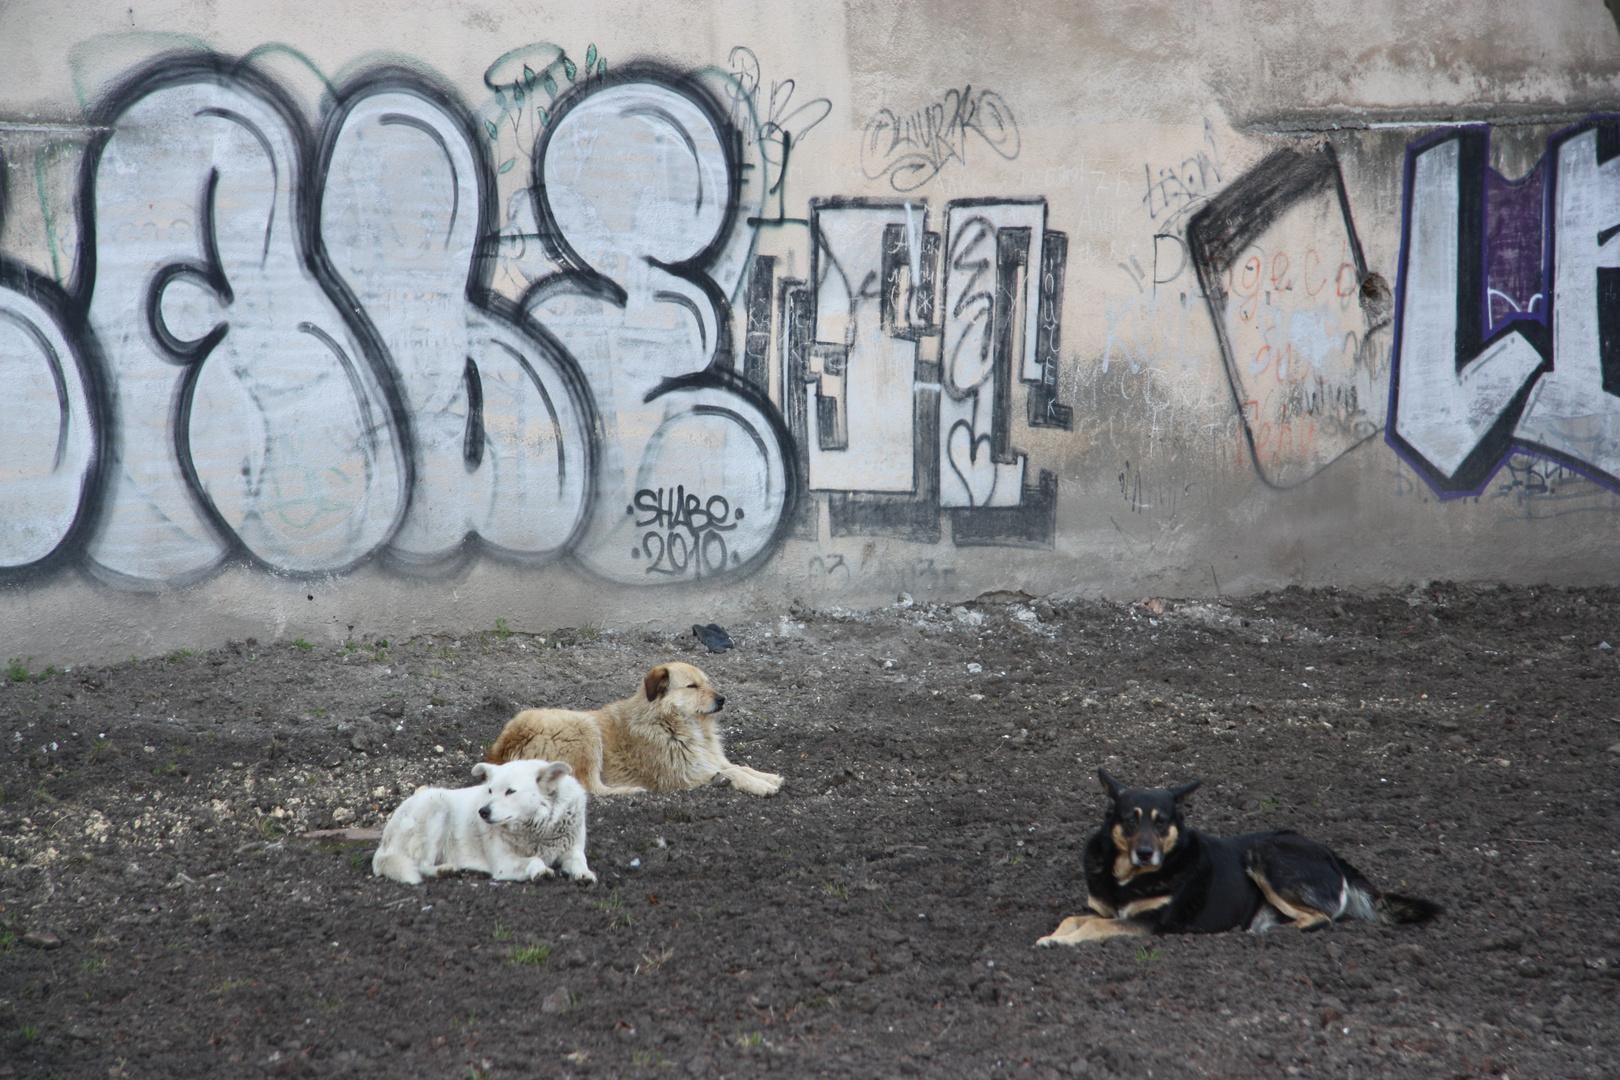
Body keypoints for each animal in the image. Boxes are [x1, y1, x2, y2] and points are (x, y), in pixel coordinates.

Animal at [372, 761, 596, 887]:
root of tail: (383, 845)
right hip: (437, 804)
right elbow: (534, 859)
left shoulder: (572, 851)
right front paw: (541, 870)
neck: (539, 826)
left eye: (510, 791)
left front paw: (584, 874)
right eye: (490, 790)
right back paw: (444, 870)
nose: (483, 812)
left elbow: (579, 861)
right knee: (422, 865)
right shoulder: (503, 865)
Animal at [482, 663, 780, 799]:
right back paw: (632, 790)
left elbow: (738, 766)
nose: (722, 699)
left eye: (706, 683)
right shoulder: (679, 774)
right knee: (591, 788)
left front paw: (767, 777)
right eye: (692, 686)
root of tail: (501, 749)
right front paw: (760, 786)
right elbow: (734, 771)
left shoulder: (707, 761)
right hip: (585, 728)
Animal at [1036, 767, 1445, 945]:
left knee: (1320, 919)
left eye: (1162, 821)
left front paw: (1063, 942)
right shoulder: (1108, 909)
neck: (1127, 876)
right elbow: (1075, 918)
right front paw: (1053, 935)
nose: (1146, 853)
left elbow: (1094, 927)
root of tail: (1333, 855)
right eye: (1130, 819)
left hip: (1262, 851)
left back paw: (1261, 933)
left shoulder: (1148, 923)